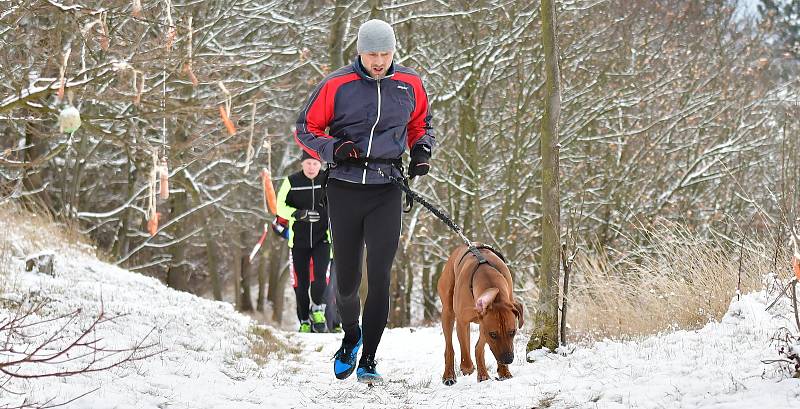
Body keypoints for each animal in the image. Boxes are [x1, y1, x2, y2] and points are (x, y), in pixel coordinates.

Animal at [438, 244, 524, 384]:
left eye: (512, 332)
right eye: (493, 334)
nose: (508, 359)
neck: (488, 276)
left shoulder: (484, 325)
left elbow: (478, 347)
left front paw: (504, 372)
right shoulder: (463, 322)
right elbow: (465, 349)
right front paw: (466, 367)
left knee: (478, 347)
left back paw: (483, 374)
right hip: (447, 311)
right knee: (449, 346)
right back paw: (449, 375)